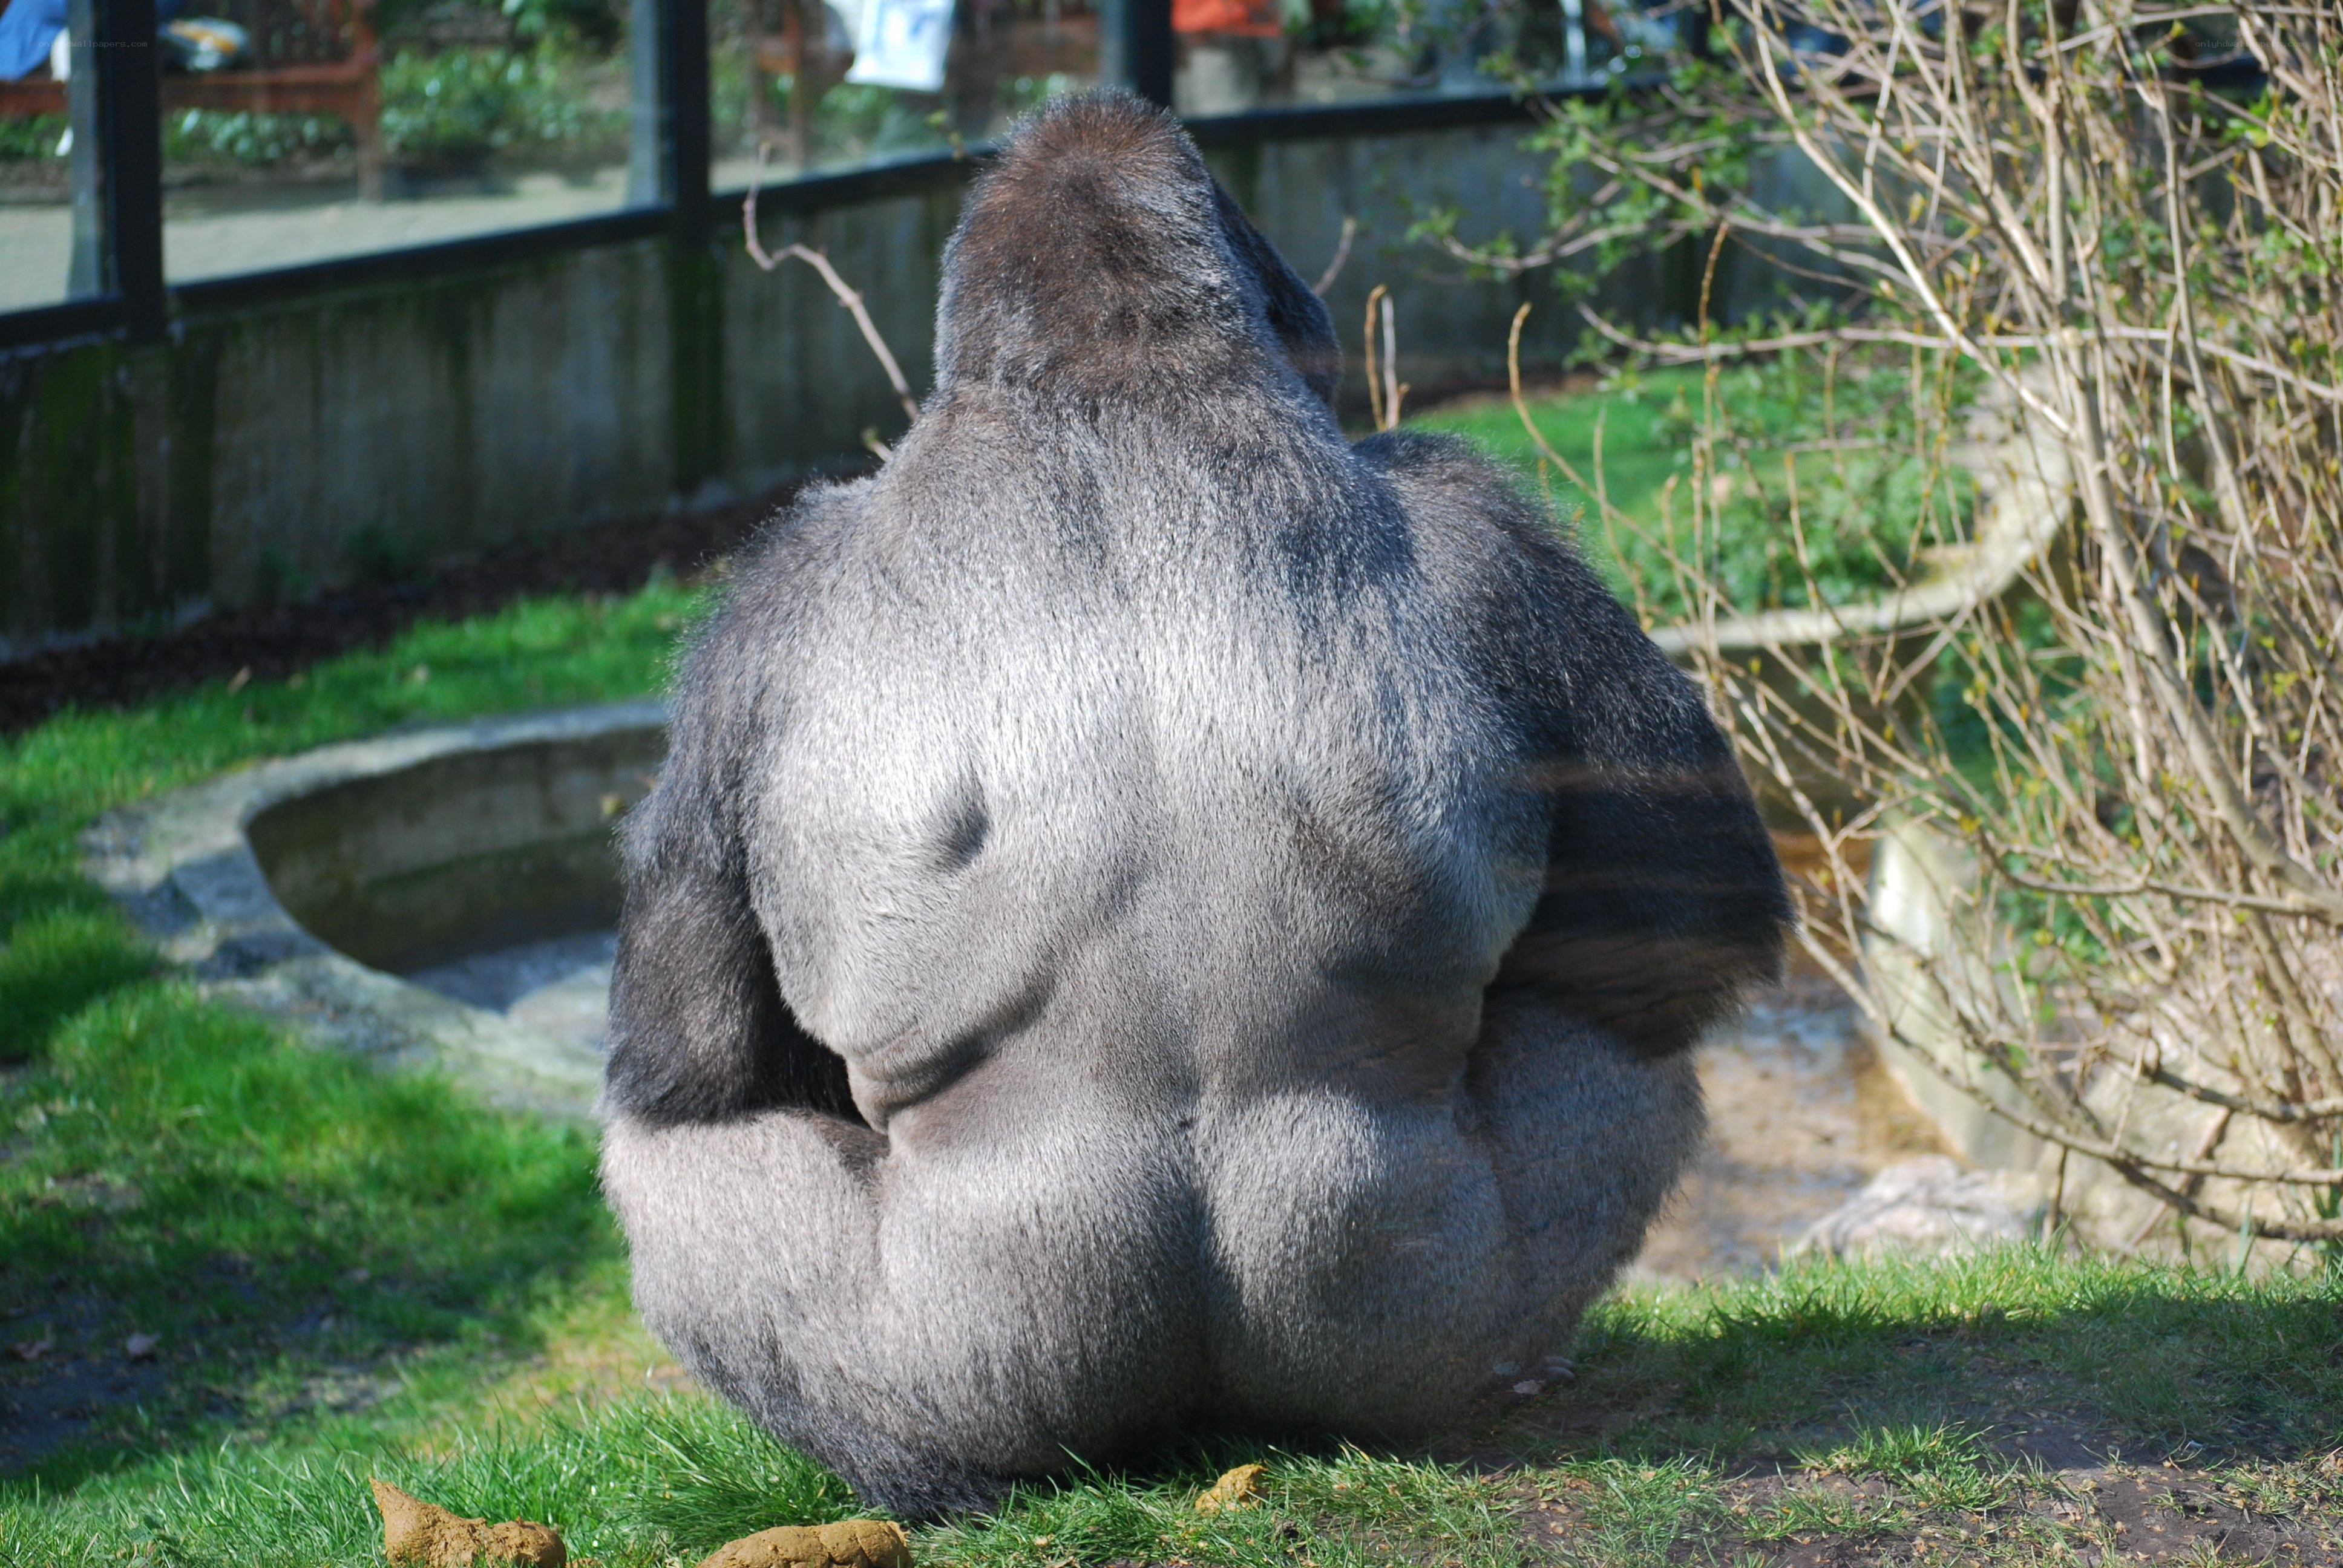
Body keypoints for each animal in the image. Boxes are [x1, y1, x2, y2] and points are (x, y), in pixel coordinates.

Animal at [599, 89, 1789, 1519]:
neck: (1116, 385)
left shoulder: (757, 609)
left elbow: (1688, 918)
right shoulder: (1489, 527)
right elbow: (1679, 914)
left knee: (676, 1157)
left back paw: (915, 1477)